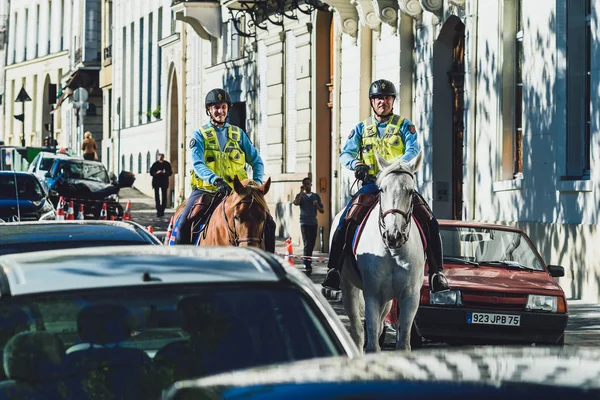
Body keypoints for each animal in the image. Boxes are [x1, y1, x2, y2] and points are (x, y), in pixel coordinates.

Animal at [332, 153, 426, 354]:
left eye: (411, 192)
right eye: (382, 190)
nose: (393, 235)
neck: (392, 252)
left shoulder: (410, 297)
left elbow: (403, 343)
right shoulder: (372, 294)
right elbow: (372, 343)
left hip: (387, 300)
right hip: (348, 287)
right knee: (358, 332)